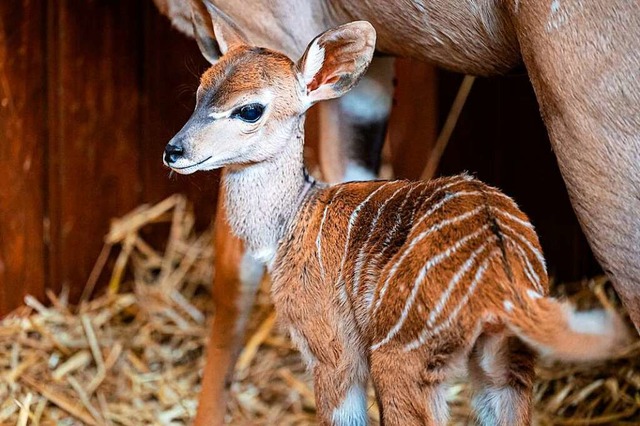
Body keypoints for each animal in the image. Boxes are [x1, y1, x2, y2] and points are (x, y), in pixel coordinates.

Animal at [161, 7, 632, 426]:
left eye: (250, 110)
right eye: (200, 91)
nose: (174, 150)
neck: (292, 219)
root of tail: (505, 283)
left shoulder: (332, 349)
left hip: (401, 357)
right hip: (504, 365)